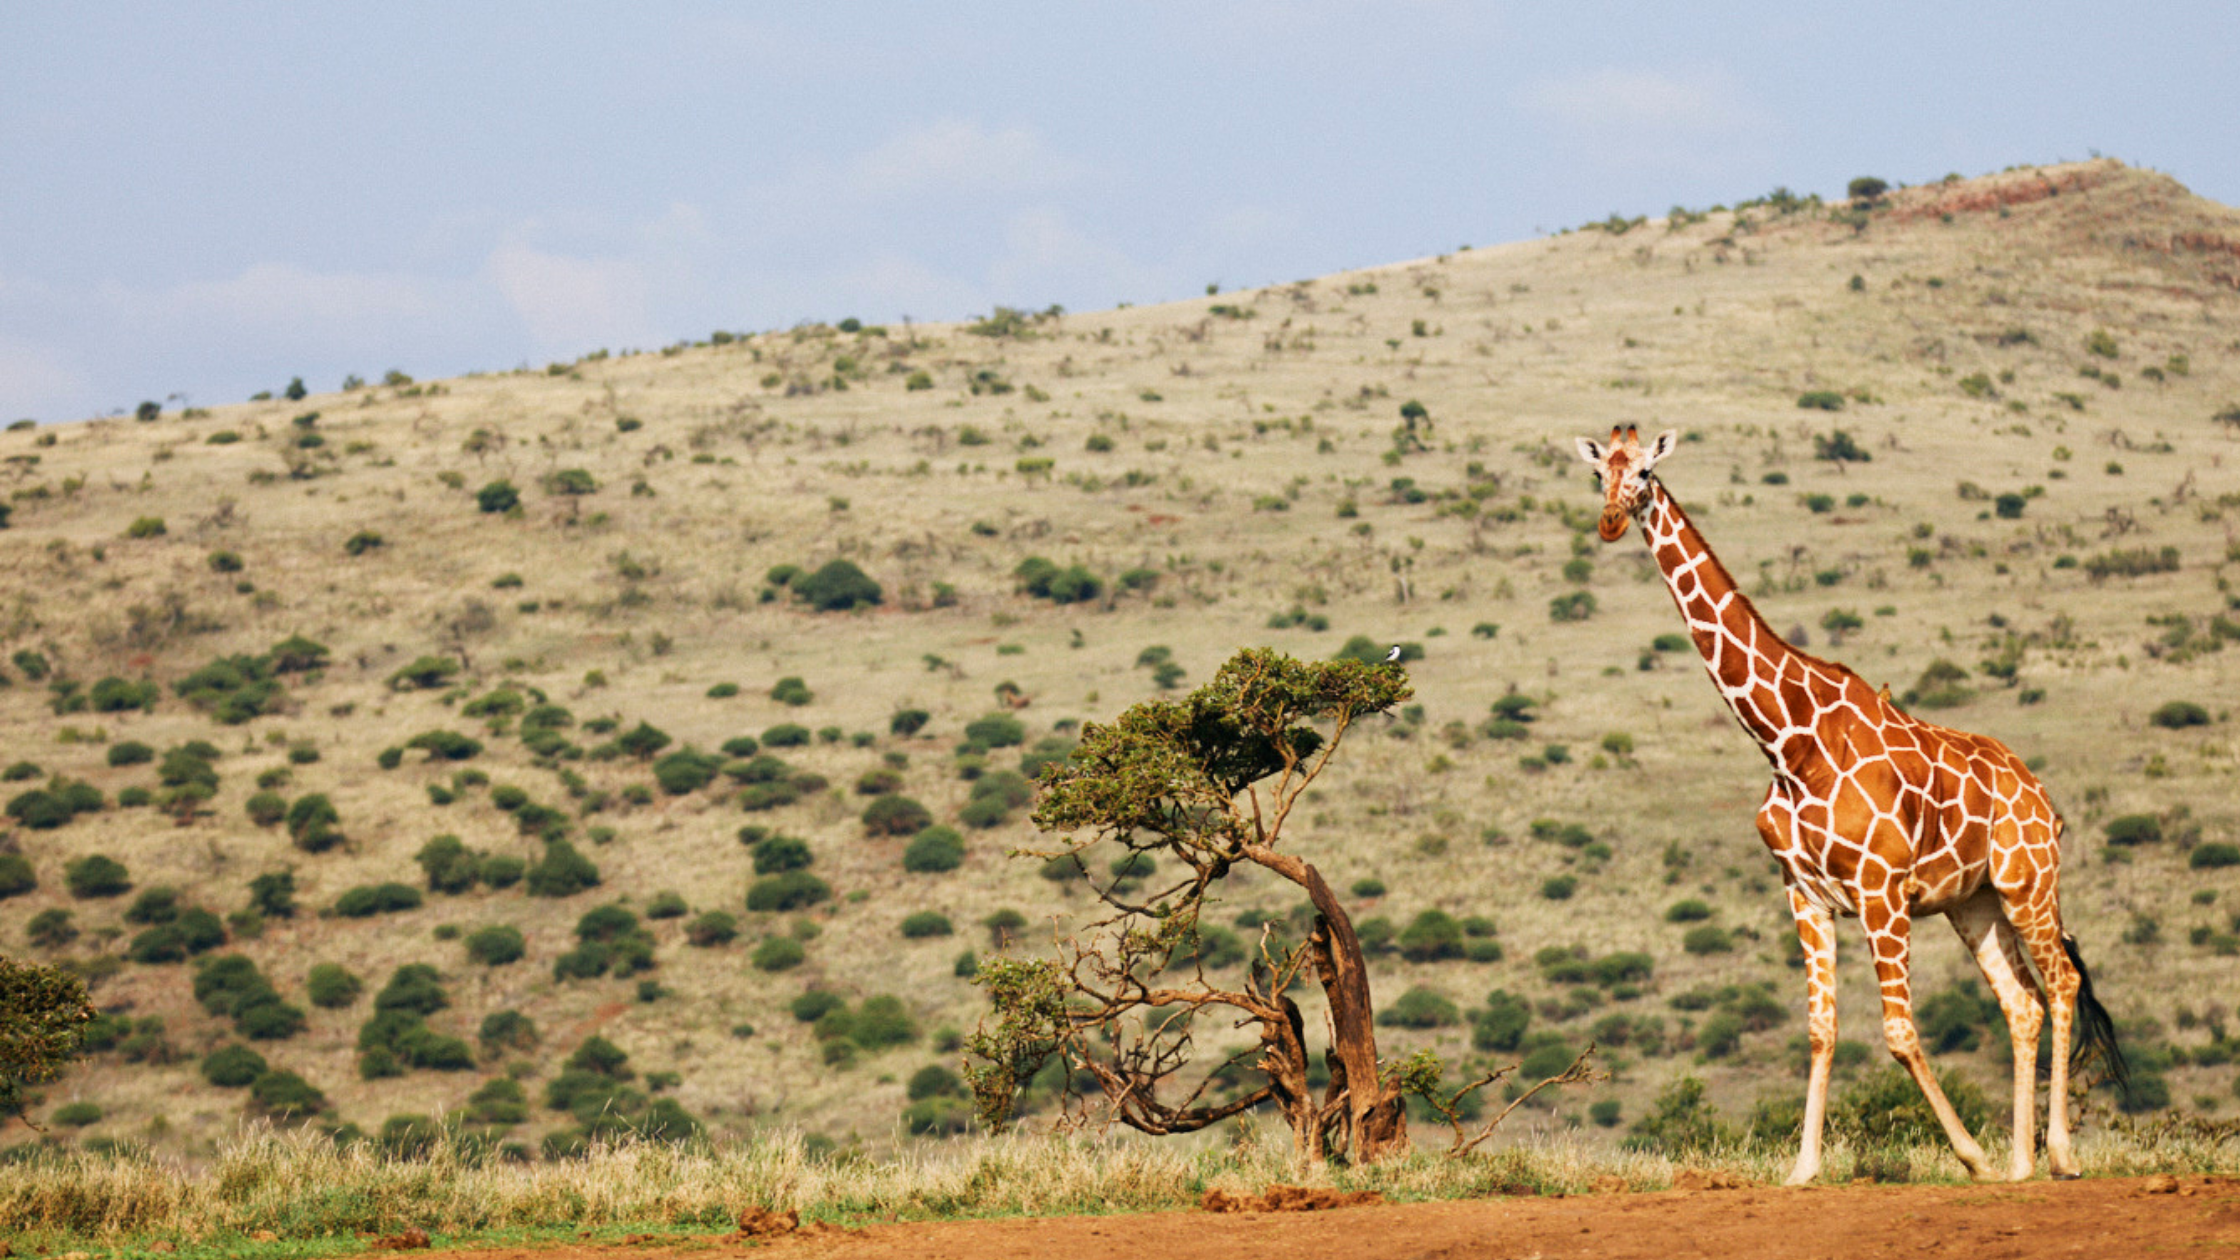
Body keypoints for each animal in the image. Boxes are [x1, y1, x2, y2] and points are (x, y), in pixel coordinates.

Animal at [1573, 425, 2122, 1184]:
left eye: (1647, 472)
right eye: (1599, 472)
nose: (1610, 520)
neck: (1786, 740)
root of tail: (2045, 799)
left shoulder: (1880, 891)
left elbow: (1898, 1032)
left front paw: (1970, 1156)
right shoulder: (1804, 892)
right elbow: (1820, 1030)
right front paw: (1803, 1168)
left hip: (2027, 881)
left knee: (2063, 982)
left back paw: (2058, 1155)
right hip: (1973, 903)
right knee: (2023, 1004)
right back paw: (2020, 1164)